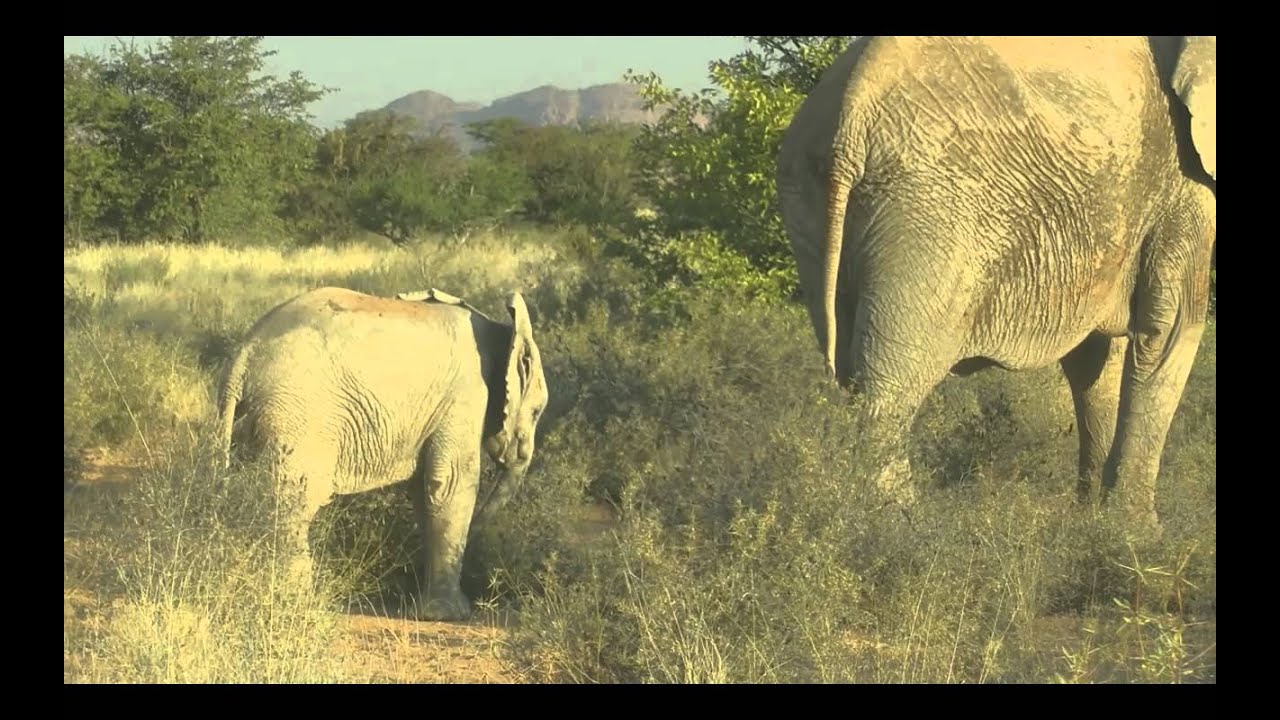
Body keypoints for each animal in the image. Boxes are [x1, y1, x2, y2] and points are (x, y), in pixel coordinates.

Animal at [217, 285, 549, 621]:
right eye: (536, 412)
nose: (406, 571)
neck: (503, 331)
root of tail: (242, 358)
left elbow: (425, 493)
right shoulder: (467, 395)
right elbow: (451, 484)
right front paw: (450, 615)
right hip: (297, 416)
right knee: (294, 500)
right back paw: (298, 601)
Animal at [775, 36, 1216, 533]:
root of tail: (850, 114)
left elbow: (1096, 356)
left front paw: (1093, 521)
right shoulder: (1184, 176)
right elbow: (1170, 332)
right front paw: (1139, 534)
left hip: (809, 196)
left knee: (848, 370)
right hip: (928, 208)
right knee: (891, 384)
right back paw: (903, 523)